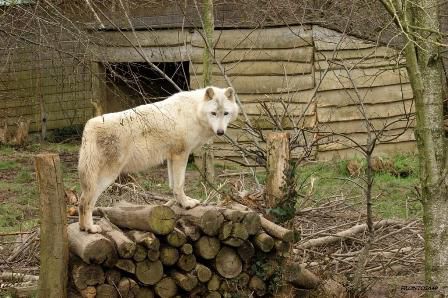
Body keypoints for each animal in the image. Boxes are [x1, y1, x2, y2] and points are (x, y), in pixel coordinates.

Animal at [78, 86, 238, 233]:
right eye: (213, 113)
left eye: (225, 113)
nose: (220, 132)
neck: (194, 112)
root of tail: (89, 126)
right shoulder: (181, 155)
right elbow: (180, 184)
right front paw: (186, 204)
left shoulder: (171, 157)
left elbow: (174, 186)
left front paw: (179, 203)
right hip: (107, 178)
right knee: (86, 202)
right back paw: (91, 228)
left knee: (80, 201)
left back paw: (82, 227)